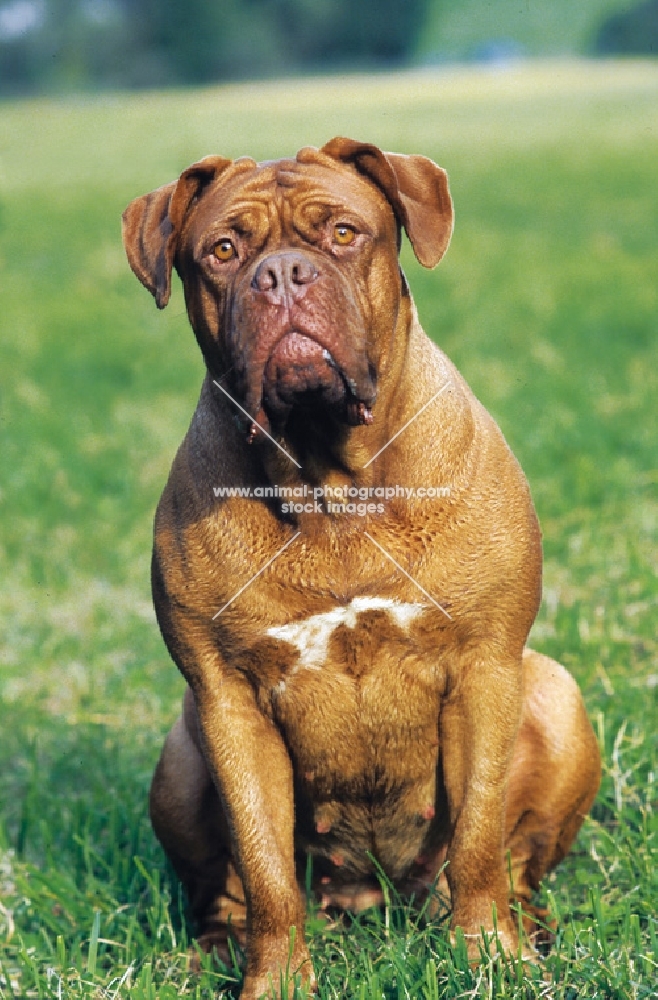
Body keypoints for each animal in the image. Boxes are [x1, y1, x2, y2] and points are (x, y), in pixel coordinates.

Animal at [121, 141, 600, 1000]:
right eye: (222, 251)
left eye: (344, 233)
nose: (282, 275)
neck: (329, 482)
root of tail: (376, 899)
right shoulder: (227, 703)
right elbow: (265, 869)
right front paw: (276, 981)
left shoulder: (485, 669)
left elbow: (479, 835)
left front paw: (489, 958)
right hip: (182, 748)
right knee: (228, 888)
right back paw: (214, 952)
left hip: (554, 691)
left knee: (511, 861)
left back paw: (528, 932)